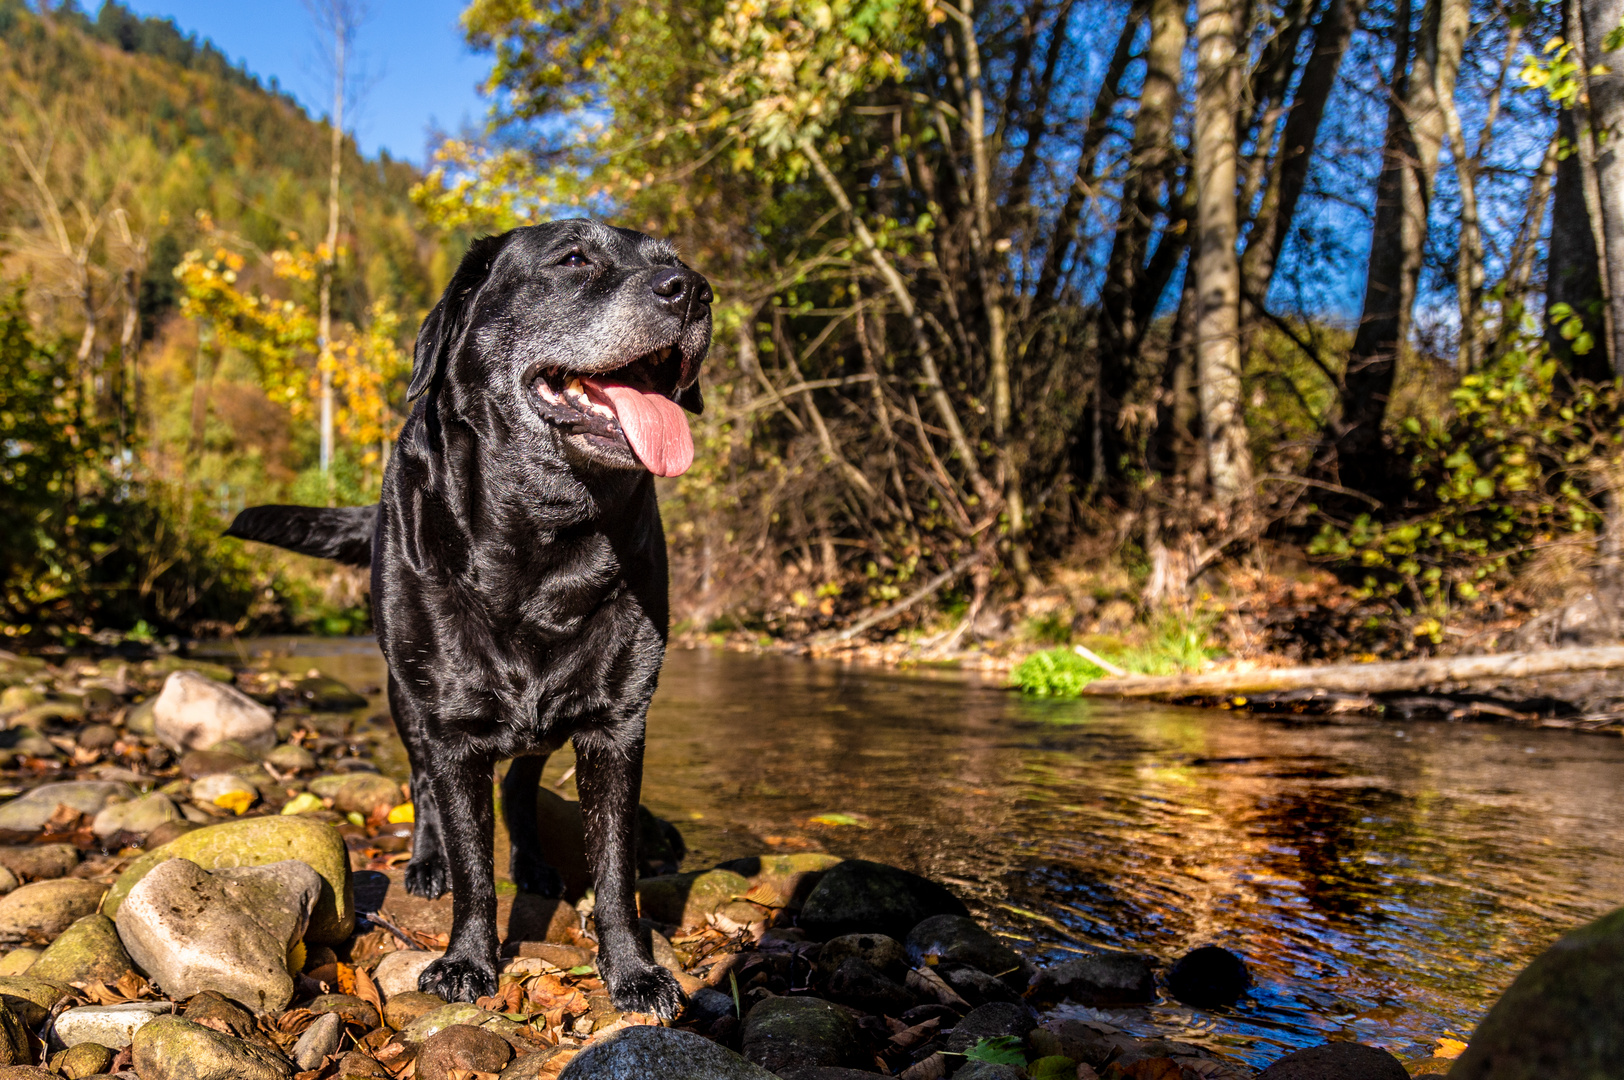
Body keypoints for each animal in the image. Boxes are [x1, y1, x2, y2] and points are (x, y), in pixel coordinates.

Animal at [225, 217, 708, 1013]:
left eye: (674, 261)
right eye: (573, 258)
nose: (695, 290)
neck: (543, 546)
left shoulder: (617, 725)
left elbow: (615, 869)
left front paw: (635, 970)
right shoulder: (451, 728)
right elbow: (473, 865)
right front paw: (467, 959)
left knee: (520, 783)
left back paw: (536, 864)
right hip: (406, 695)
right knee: (423, 784)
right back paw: (427, 862)